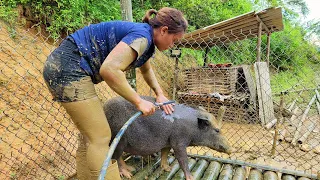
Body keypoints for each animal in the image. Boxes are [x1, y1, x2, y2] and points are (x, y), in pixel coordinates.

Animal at [104, 96, 234, 179]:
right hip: (118, 138)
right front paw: (191, 177)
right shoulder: (178, 141)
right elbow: (182, 158)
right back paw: (128, 174)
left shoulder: (167, 141)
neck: (192, 127)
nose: (233, 150)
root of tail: (104, 106)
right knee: (116, 157)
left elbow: (165, 154)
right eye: (217, 130)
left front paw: (168, 169)